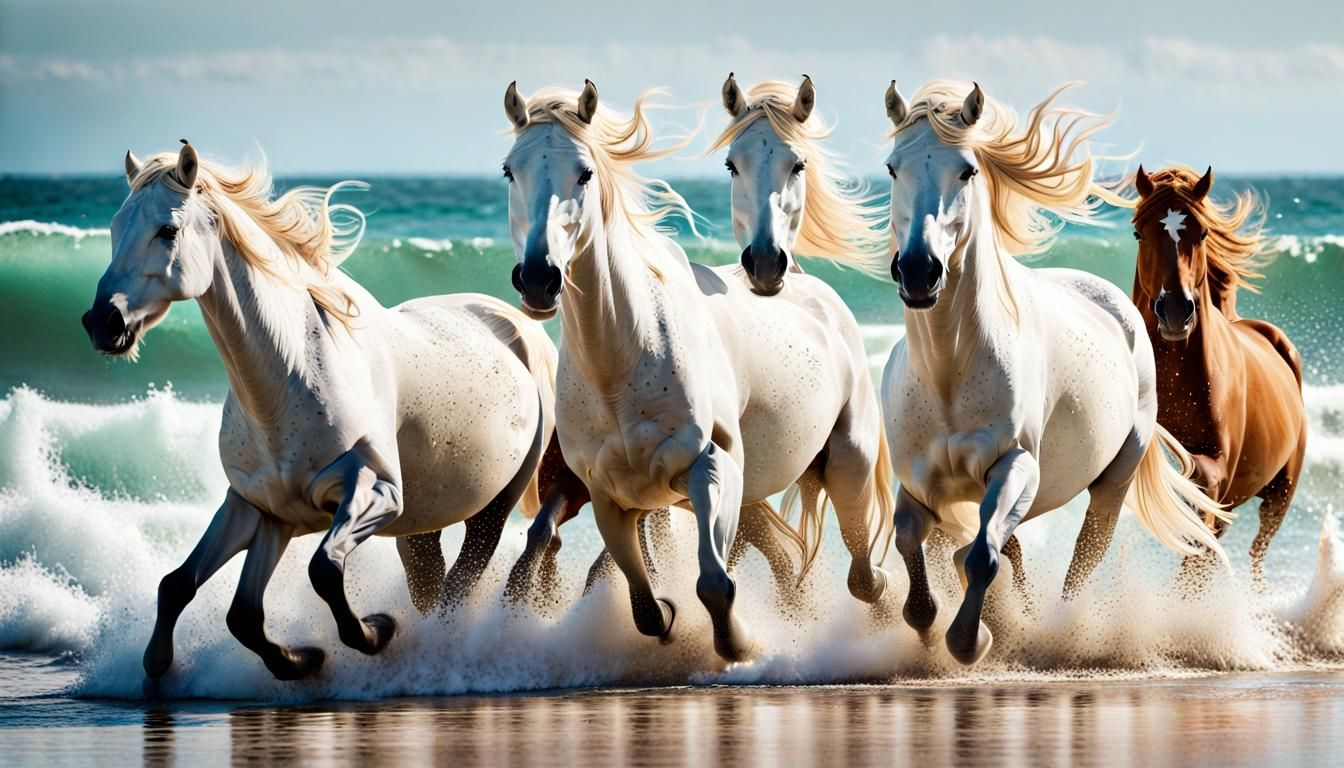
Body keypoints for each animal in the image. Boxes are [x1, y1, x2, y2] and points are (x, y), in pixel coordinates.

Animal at [85, 142, 560, 682]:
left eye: (167, 229)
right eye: (115, 226)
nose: (103, 322)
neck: (291, 378)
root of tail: (523, 326)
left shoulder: (375, 492)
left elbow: (323, 570)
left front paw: (376, 630)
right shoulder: (262, 509)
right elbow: (203, 596)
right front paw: (291, 660)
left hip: (496, 502)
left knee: (463, 580)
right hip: (425, 520)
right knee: (430, 579)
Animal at [502, 80, 893, 662]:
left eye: (585, 173)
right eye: (510, 170)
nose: (538, 278)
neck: (623, 359)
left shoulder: (711, 467)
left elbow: (715, 583)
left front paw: (741, 642)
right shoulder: (607, 497)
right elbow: (642, 604)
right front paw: (668, 617)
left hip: (847, 464)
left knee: (863, 574)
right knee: (794, 561)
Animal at [877, 80, 1230, 665]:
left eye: (967, 171)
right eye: (892, 168)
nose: (919, 271)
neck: (949, 373)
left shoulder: (1017, 467)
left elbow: (983, 557)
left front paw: (970, 641)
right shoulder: (919, 483)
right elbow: (912, 540)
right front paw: (927, 626)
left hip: (1112, 480)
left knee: (1084, 557)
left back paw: (1059, 631)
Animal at [1131, 165, 1307, 582]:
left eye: (1203, 233)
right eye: (1139, 233)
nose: (1175, 312)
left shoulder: (1218, 470)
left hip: (1282, 492)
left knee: (1255, 551)